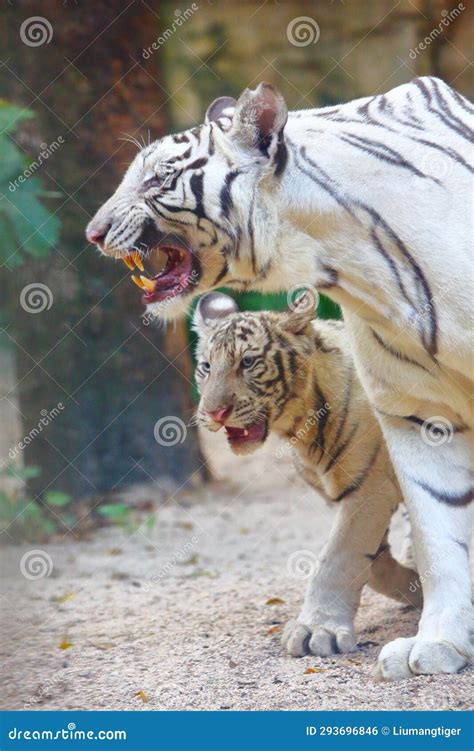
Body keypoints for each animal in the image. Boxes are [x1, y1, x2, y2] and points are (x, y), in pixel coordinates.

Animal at [87, 76, 472, 680]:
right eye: (206, 366)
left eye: (156, 178)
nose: (93, 232)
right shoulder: (419, 415)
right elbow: (440, 536)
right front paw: (438, 642)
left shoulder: (371, 477)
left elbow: (343, 549)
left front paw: (319, 631)